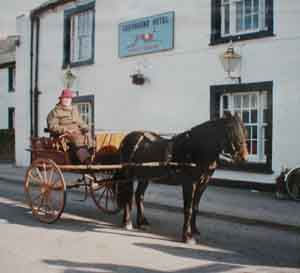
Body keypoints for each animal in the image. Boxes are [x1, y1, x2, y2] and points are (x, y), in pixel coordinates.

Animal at [116, 111, 247, 243]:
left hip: (145, 176)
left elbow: (195, 207)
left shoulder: (203, 184)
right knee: (128, 195)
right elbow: (188, 209)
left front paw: (194, 230)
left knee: (139, 196)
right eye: (231, 130)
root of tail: (126, 138)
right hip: (129, 174)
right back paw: (127, 222)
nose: (244, 157)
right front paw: (187, 236)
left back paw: (142, 222)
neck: (195, 149)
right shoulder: (189, 183)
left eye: (245, 130)